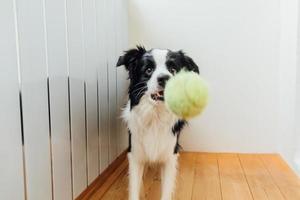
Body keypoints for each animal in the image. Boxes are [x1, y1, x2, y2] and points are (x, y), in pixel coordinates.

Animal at [117, 46, 199, 199]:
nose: (164, 78)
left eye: (173, 70)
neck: (156, 116)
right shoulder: (135, 155)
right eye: (148, 70)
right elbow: (134, 189)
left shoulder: (170, 157)